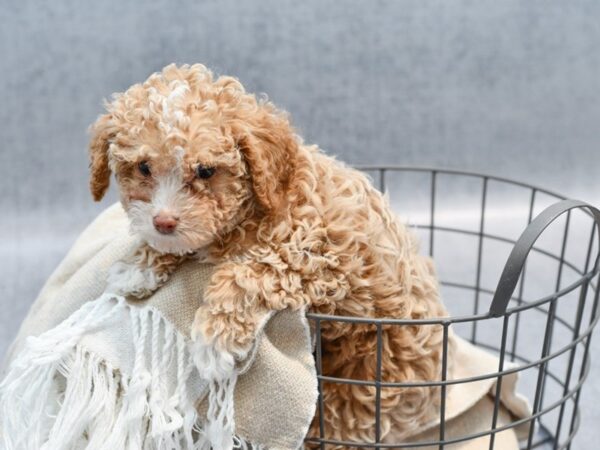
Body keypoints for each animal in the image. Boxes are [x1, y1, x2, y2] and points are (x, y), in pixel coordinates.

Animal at [88, 63, 446, 446]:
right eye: (143, 167)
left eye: (206, 171)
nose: (164, 221)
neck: (257, 206)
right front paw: (139, 266)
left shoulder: (320, 258)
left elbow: (246, 271)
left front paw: (215, 340)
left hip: (361, 393)